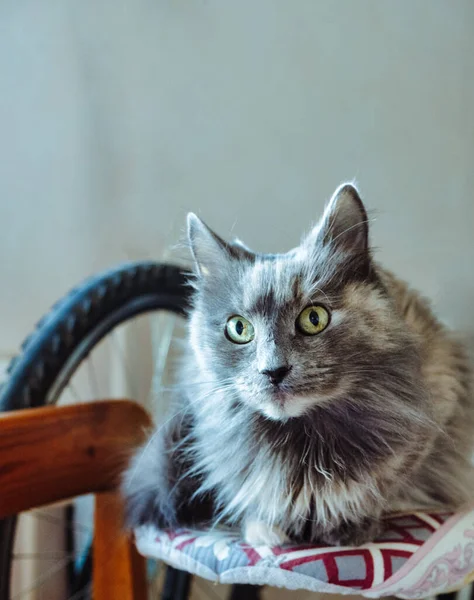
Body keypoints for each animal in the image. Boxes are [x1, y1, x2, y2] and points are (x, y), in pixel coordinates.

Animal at [123, 183, 474, 544]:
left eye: (314, 318)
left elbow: (387, 485)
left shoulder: (436, 409)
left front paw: (348, 524)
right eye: (239, 328)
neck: (304, 448)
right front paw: (266, 529)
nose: (273, 370)